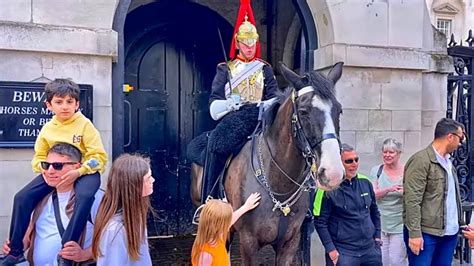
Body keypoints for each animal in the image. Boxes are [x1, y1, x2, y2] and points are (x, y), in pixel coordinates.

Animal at [190, 62, 344, 264]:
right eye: (303, 112)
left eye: (339, 110)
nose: (333, 173)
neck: (277, 183)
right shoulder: (249, 243)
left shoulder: (289, 243)